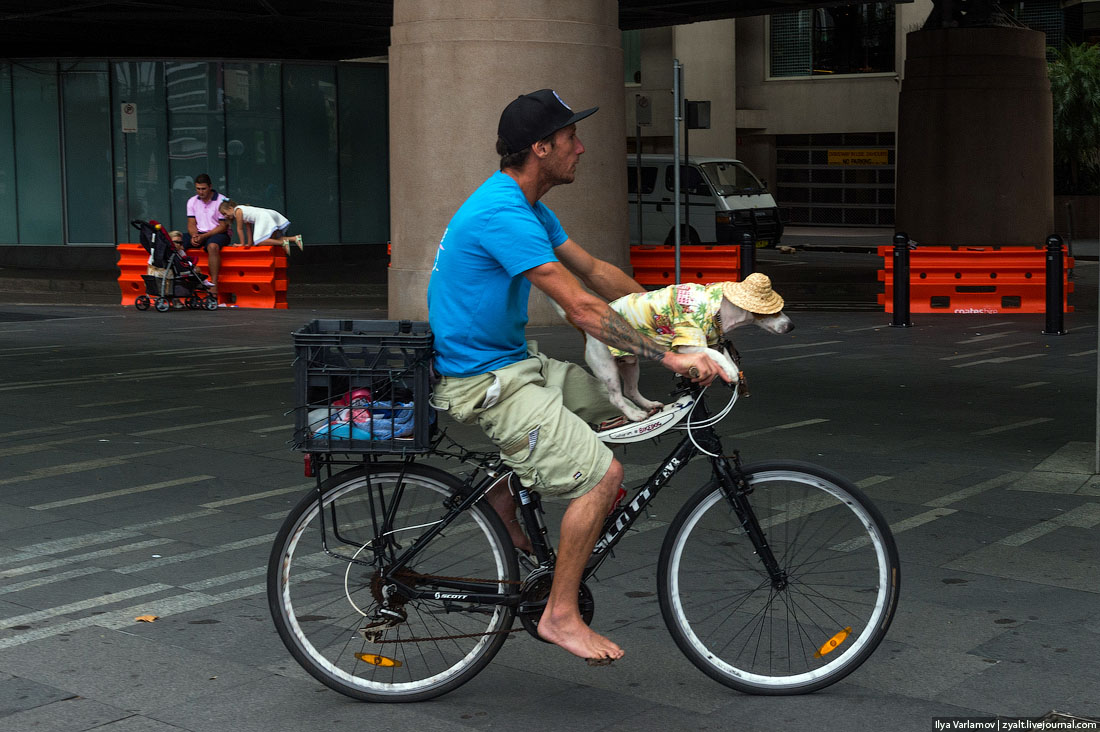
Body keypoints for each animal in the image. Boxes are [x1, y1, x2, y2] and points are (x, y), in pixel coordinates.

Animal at [585, 274, 792, 422]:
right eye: (775, 311)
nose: (792, 326)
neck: (719, 308)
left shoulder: (714, 340)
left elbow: (723, 355)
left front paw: (731, 370)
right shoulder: (687, 345)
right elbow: (714, 354)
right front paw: (731, 372)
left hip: (629, 363)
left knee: (630, 390)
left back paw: (648, 404)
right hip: (607, 368)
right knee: (615, 397)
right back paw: (634, 414)